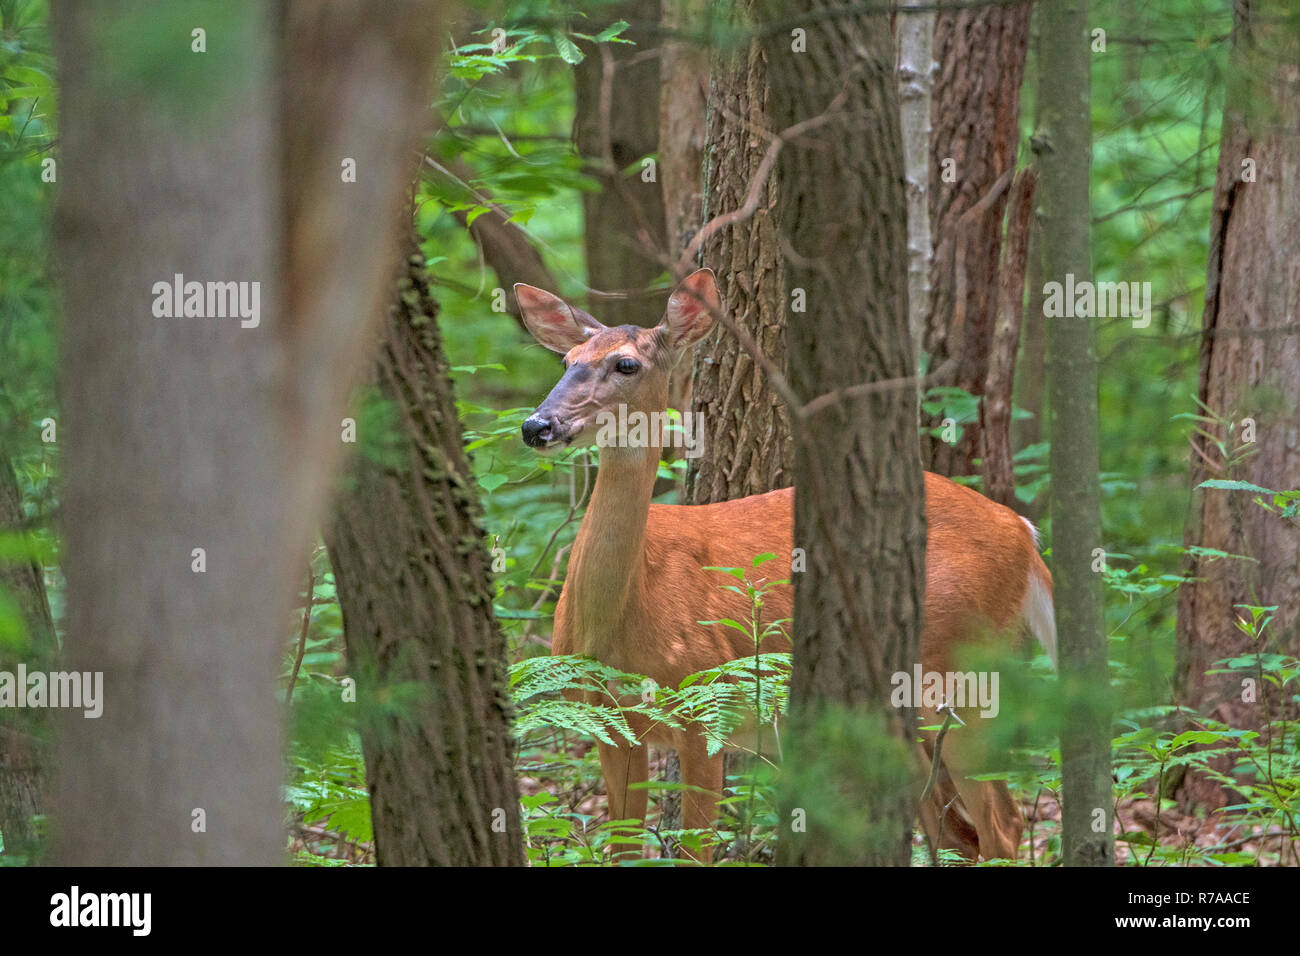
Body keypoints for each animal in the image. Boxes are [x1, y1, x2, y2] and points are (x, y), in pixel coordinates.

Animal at [514, 268, 1057, 863]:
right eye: (567, 361)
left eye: (626, 364)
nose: (537, 425)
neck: (620, 618)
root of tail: (1024, 533)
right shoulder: (608, 723)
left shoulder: (707, 705)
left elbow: (696, 848)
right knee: (956, 829)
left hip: (963, 673)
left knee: (1003, 824)